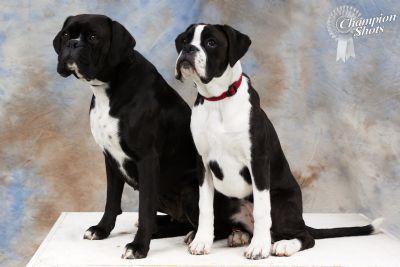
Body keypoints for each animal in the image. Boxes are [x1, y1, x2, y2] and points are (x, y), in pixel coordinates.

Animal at [175, 24, 382, 260]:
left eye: (211, 43)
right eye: (184, 41)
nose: (188, 49)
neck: (218, 100)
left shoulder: (257, 162)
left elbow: (262, 209)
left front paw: (259, 247)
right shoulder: (203, 163)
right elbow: (205, 207)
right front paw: (202, 241)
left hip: (282, 204)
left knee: (305, 236)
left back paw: (283, 245)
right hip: (194, 192)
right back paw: (234, 235)